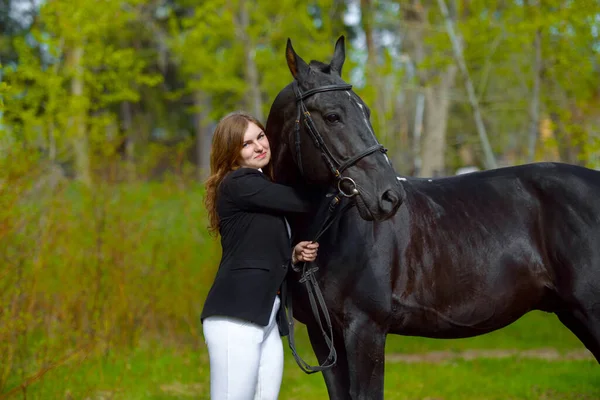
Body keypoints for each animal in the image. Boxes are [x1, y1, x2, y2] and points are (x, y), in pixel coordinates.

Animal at [268, 36, 600, 398]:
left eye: (365, 112)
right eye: (332, 116)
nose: (389, 196)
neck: (332, 231)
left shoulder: (366, 330)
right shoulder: (323, 336)